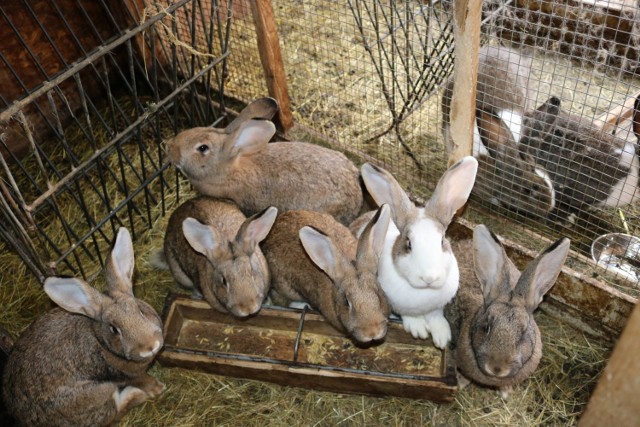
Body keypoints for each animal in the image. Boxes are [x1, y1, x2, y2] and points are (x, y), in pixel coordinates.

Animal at [3, 229, 164, 427]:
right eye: (114, 329)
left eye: (140, 310)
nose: (150, 346)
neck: (101, 342)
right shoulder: (126, 375)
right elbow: (143, 380)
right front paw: (157, 388)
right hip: (97, 393)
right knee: (113, 411)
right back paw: (137, 394)